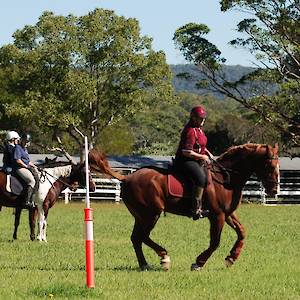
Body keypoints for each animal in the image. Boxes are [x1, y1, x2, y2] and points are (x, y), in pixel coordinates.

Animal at [88, 144, 278, 270]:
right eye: (269, 165)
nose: (274, 190)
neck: (225, 178)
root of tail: (127, 177)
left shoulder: (227, 213)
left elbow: (242, 232)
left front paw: (232, 257)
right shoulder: (217, 215)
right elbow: (215, 242)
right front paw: (199, 262)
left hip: (142, 216)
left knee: (136, 238)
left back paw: (145, 264)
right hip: (151, 214)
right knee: (142, 236)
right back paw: (164, 256)